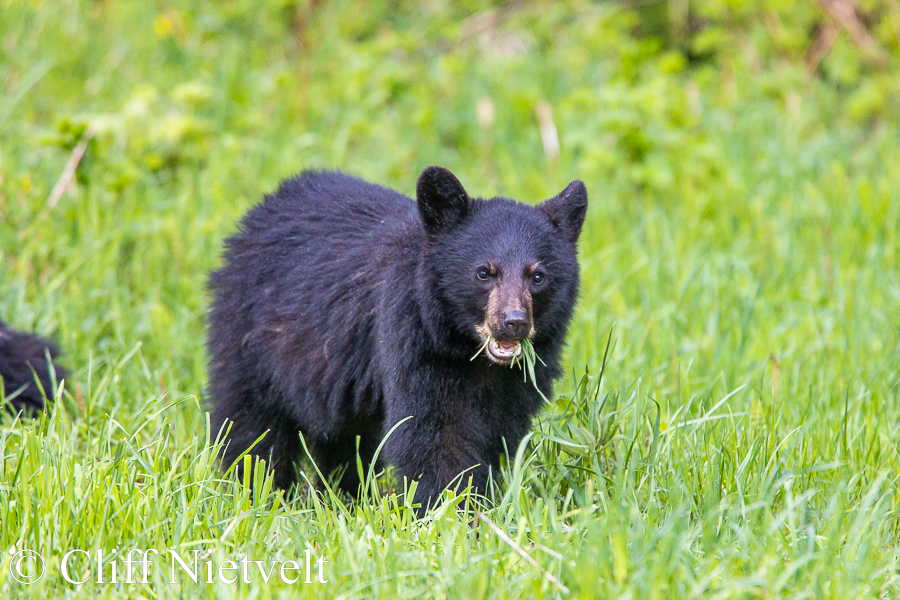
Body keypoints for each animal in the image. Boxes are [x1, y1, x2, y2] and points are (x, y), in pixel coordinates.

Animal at [206, 166, 587, 515]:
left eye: (538, 276)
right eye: (483, 272)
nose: (513, 322)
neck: (471, 353)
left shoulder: (520, 376)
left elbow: (499, 435)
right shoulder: (414, 338)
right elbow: (435, 435)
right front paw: (448, 513)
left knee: (345, 437)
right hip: (249, 338)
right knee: (251, 424)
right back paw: (254, 492)